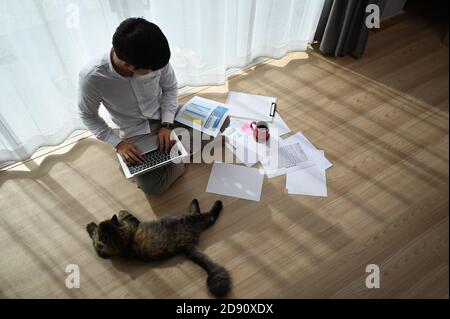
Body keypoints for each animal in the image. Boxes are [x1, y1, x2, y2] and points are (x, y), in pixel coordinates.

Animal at [86, 199, 230, 298]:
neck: (122, 243)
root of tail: (185, 246)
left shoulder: (105, 249)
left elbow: (96, 240)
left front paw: (91, 226)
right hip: (191, 219)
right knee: (210, 217)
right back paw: (215, 203)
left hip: (190, 218)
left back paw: (195, 202)